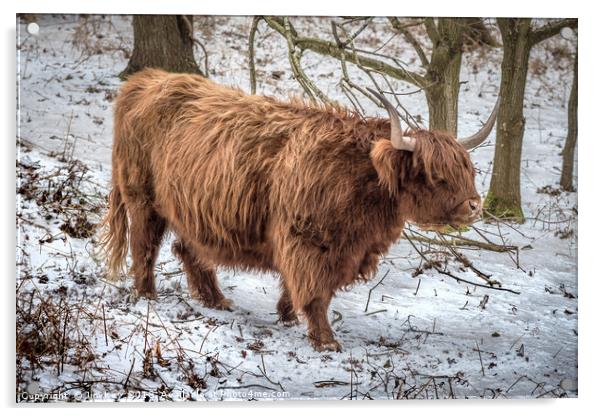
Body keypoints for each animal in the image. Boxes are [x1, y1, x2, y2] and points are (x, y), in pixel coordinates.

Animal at [103, 68, 496, 352]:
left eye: (468, 170)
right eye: (435, 174)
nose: (474, 205)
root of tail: (145, 80)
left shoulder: (342, 249)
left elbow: (301, 286)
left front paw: (287, 315)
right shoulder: (308, 240)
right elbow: (315, 291)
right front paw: (326, 340)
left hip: (192, 208)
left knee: (188, 249)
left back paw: (216, 300)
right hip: (142, 197)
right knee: (145, 246)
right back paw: (148, 294)